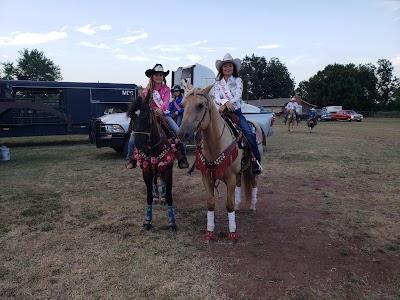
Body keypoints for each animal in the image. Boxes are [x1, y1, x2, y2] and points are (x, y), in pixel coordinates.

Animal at [126, 94, 180, 232]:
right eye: (131, 118)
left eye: (146, 117)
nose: (139, 145)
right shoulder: (146, 170)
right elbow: (149, 195)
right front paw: (147, 221)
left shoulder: (167, 169)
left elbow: (169, 195)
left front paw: (172, 223)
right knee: (156, 180)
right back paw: (157, 196)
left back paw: (162, 195)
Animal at [177, 84, 258, 244]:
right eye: (183, 104)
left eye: (200, 105)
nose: (183, 134)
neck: (215, 144)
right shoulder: (207, 178)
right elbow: (210, 203)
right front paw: (209, 232)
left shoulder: (230, 178)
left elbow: (229, 205)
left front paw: (232, 234)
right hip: (239, 172)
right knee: (240, 185)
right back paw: (239, 206)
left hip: (251, 169)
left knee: (254, 183)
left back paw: (252, 206)